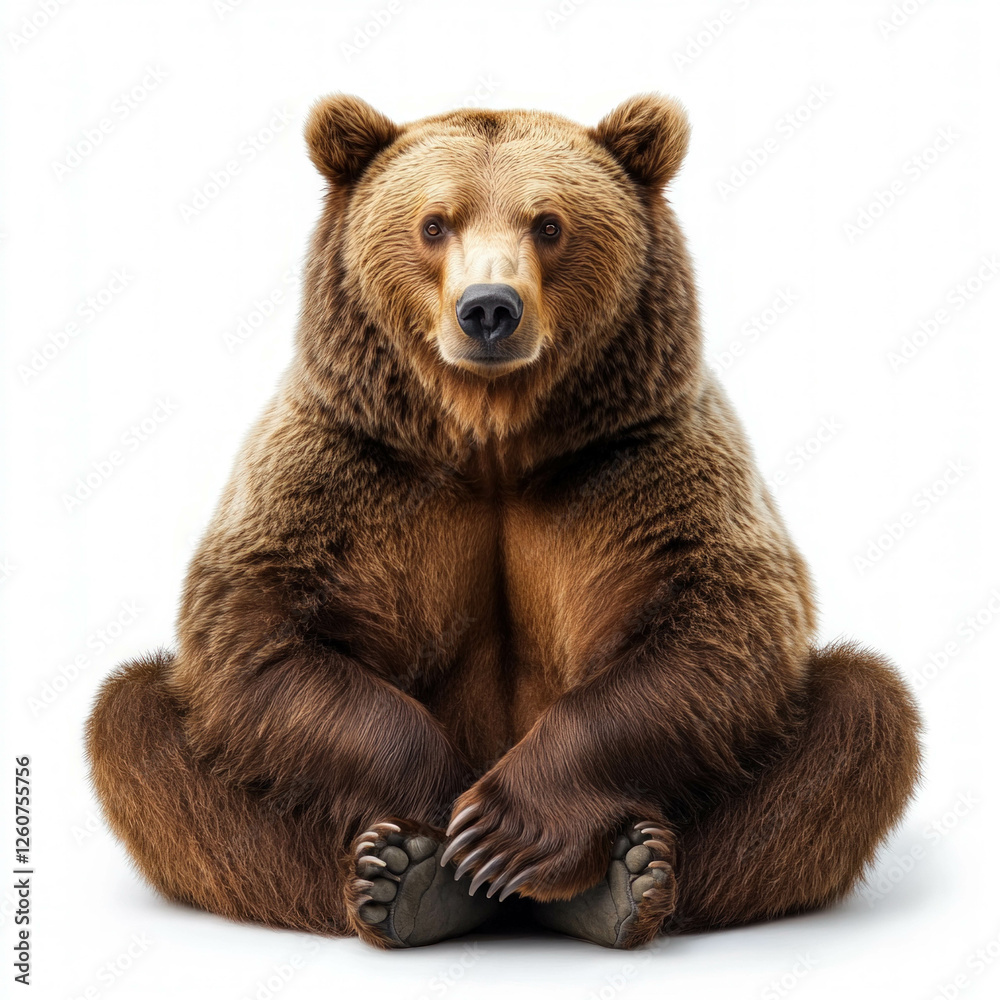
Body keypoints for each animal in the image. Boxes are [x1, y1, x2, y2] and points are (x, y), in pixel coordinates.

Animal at [86, 93, 921, 950]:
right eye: (434, 222)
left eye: (548, 223)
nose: (489, 309)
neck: (491, 440)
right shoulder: (339, 465)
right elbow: (258, 638)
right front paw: (440, 821)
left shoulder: (644, 457)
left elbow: (720, 627)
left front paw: (502, 829)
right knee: (136, 723)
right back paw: (403, 883)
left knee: (862, 712)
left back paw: (621, 880)